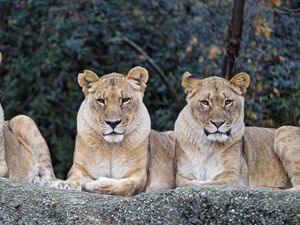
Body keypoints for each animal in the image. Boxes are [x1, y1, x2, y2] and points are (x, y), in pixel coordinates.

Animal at [53, 66, 176, 194]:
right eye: (101, 100)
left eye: (125, 99)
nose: (113, 123)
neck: (111, 147)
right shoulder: (79, 167)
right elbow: (74, 176)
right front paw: (64, 183)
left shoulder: (139, 175)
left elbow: (124, 186)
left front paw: (95, 184)